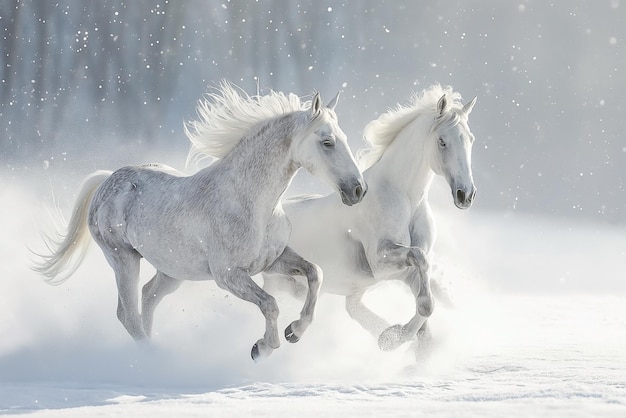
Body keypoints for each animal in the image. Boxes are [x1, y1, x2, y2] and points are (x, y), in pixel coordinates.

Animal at [33, 82, 366, 362]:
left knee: (147, 298)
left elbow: (315, 273)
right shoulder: (229, 275)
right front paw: (262, 348)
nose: (358, 190)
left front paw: (295, 331)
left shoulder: (273, 260)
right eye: (327, 142)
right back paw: (154, 360)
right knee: (127, 314)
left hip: (172, 270)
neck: (250, 201)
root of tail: (107, 180)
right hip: (123, 259)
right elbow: (270, 303)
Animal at [260, 84, 476, 352]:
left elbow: (429, 298)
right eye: (442, 141)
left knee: (352, 307)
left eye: (470, 139)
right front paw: (394, 337)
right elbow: (421, 267)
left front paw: (393, 337)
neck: (405, 199)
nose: (466, 195)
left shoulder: (398, 273)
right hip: (279, 283)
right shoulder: (381, 262)